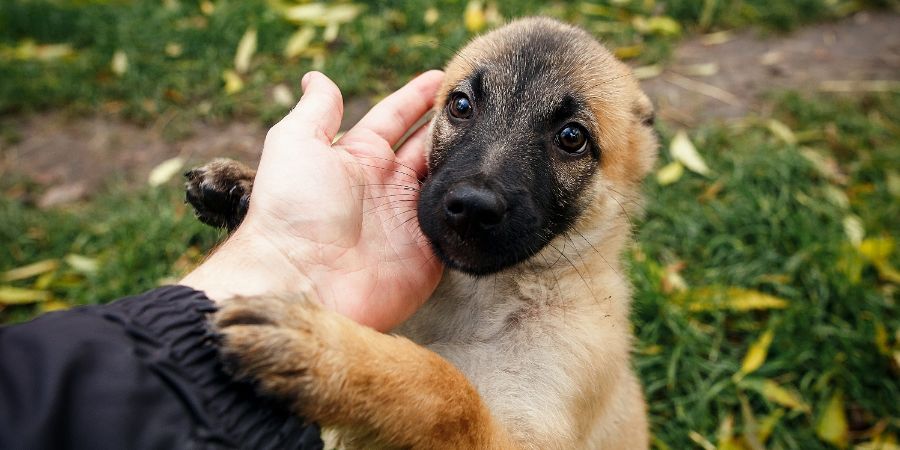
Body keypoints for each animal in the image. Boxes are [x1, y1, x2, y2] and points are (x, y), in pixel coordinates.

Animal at [186, 17, 656, 450]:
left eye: (572, 137)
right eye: (461, 105)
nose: (472, 208)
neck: (478, 298)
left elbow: (452, 393)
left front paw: (327, 353)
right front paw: (240, 184)